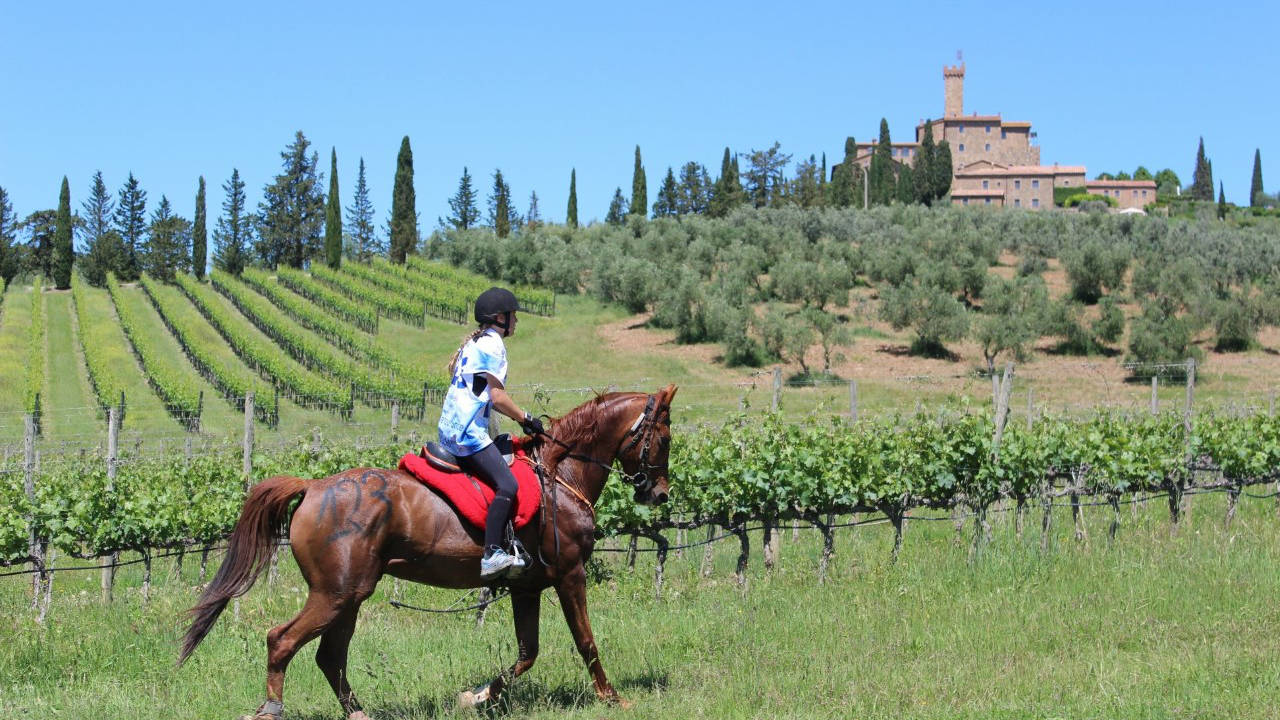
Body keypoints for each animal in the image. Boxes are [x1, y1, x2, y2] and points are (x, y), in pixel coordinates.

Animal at [181, 386, 680, 717]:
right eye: (665, 439)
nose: (658, 493)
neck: (561, 474)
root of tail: (314, 486)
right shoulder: (570, 573)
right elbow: (585, 641)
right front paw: (612, 698)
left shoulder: (528, 586)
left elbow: (527, 652)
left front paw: (475, 696)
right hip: (335, 594)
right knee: (281, 640)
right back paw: (271, 708)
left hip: (349, 596)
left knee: (329, 656)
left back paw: (359, 713)